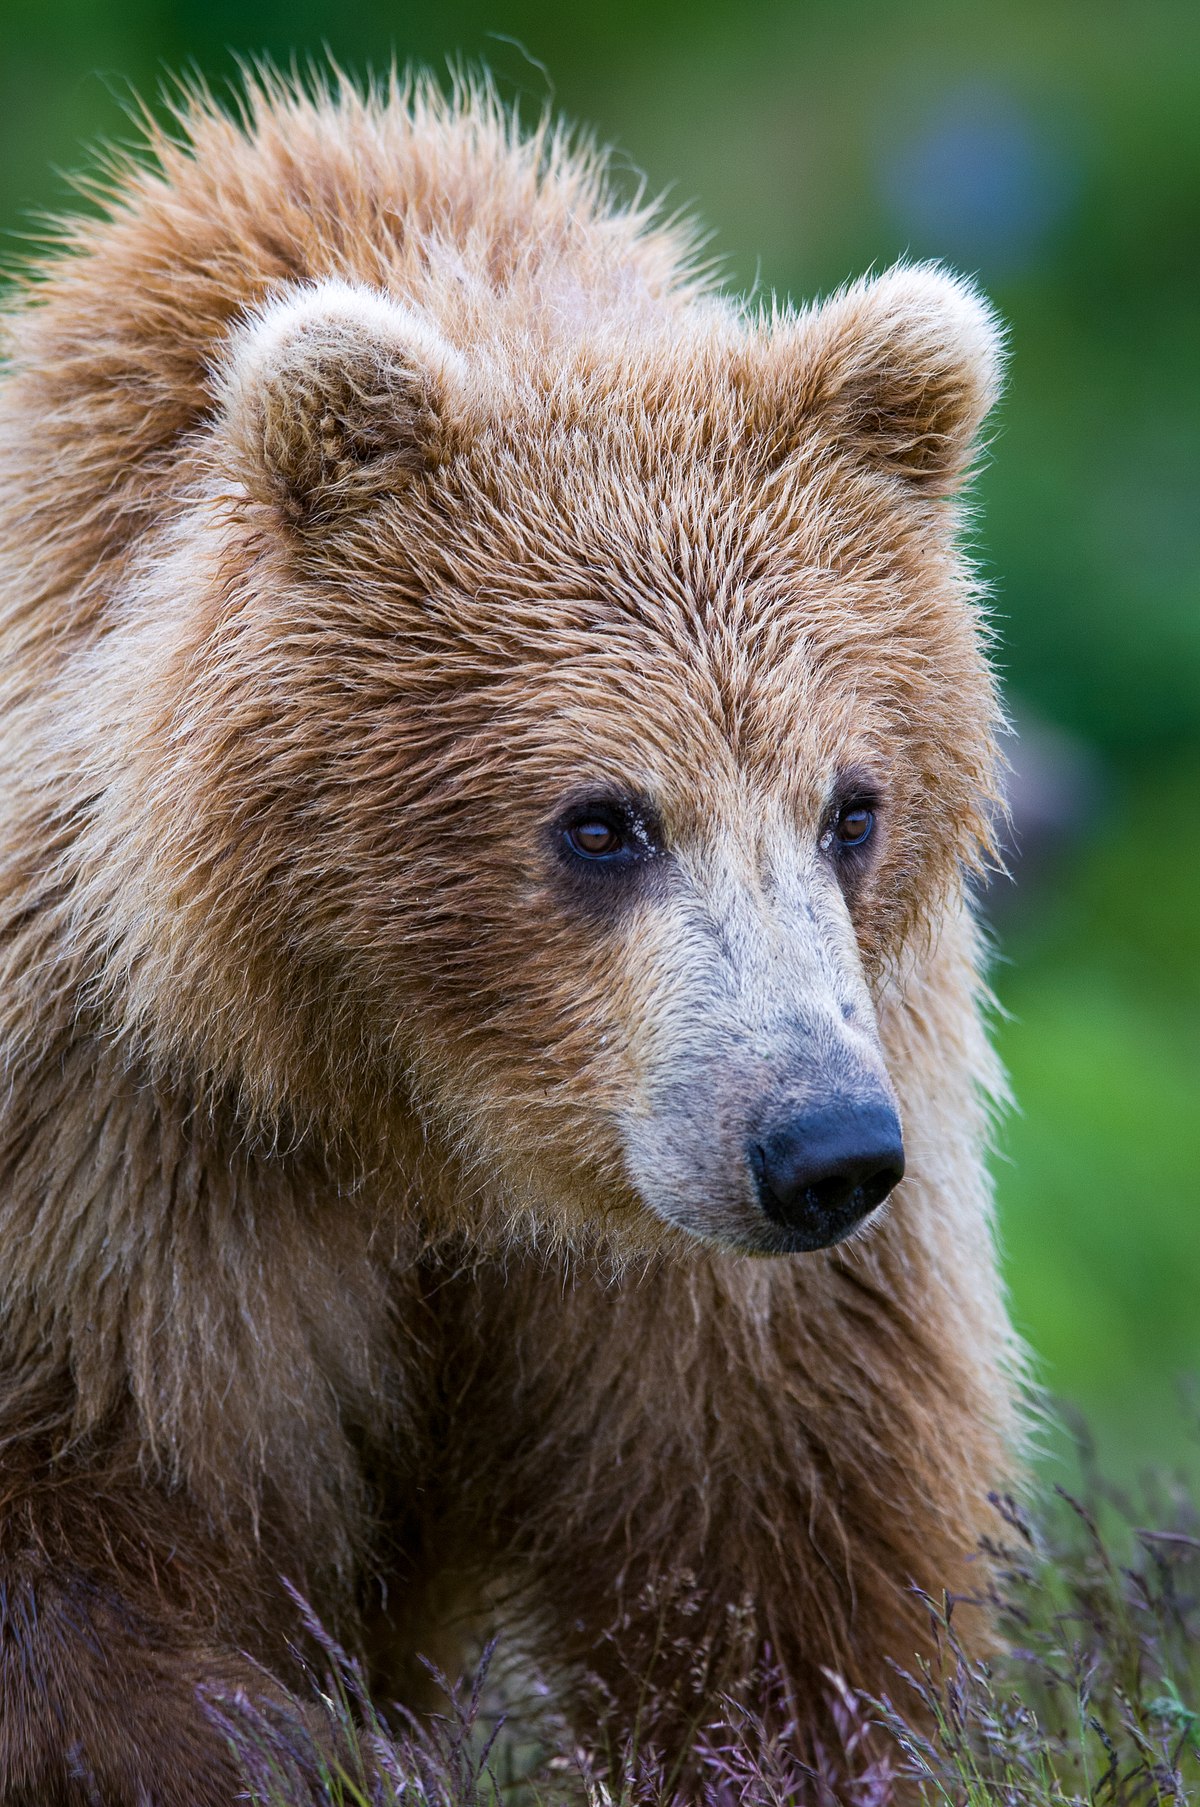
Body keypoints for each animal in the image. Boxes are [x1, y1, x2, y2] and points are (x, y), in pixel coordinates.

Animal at [0, 71, 1019, 1803]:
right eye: (602, 818)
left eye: (851, 805)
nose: (819, 1148)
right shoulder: (112, 1150)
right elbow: (88, 1542)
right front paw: (301, 1746)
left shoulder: (715, 1240)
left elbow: (781, 1541)